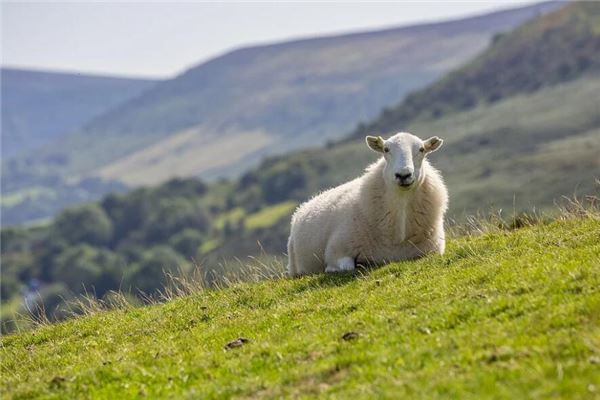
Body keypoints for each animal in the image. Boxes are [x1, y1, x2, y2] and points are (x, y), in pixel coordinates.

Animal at [288, 131, 448, 276]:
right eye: (386, 149)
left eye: (421, 149)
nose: (403, 175)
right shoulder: (336, 250)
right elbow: (346, 266)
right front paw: (332, 269)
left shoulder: (433, 251)